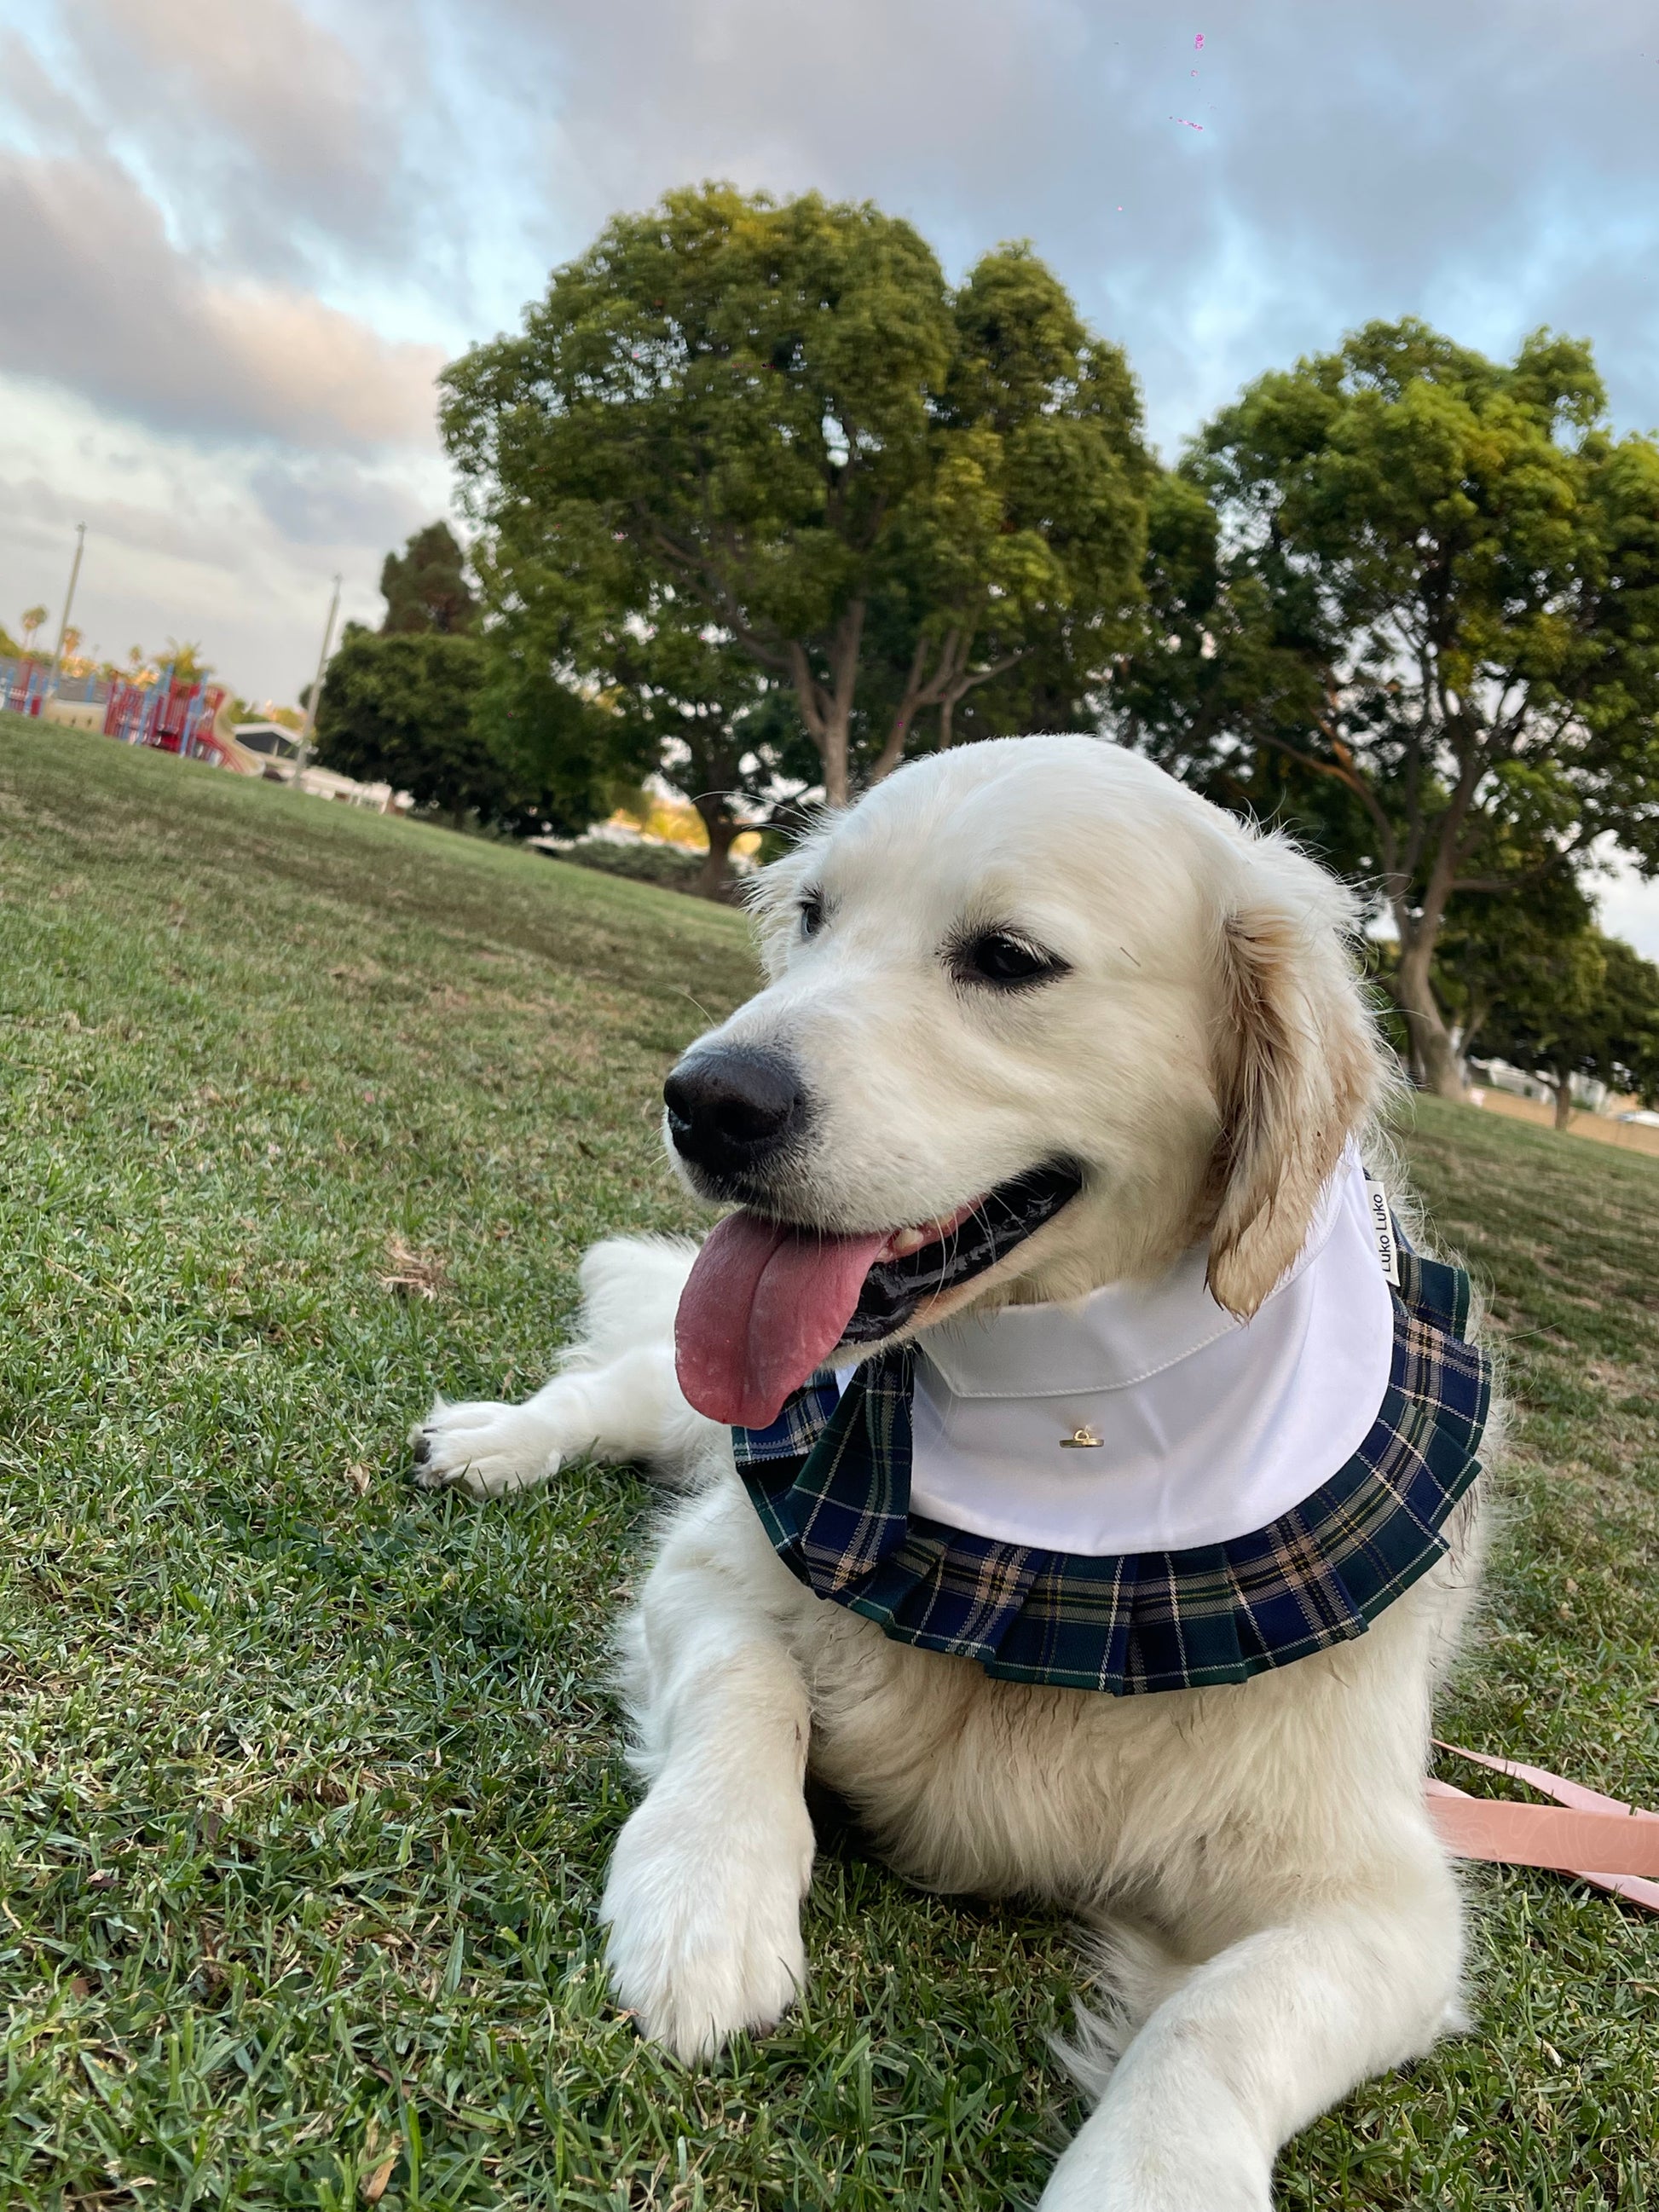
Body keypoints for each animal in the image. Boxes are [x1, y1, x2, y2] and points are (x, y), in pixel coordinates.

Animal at [413, 734, 1494, 2203]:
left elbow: (1220, 2019)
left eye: (1007, 956)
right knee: (613, 1388)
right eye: (814, 915)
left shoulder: (1385, 1896)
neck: (1068, 1434)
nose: (705, 1098)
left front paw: (1151, 2173)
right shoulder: (714, 1566)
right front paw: (706, 1897)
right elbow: (751, 1692)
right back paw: (491, 1439)